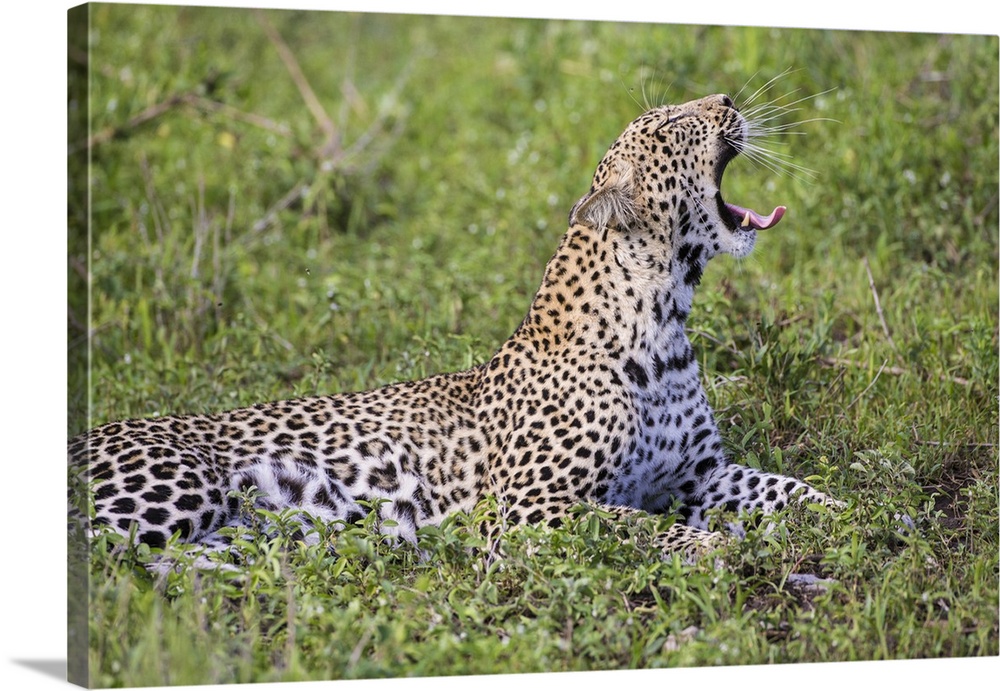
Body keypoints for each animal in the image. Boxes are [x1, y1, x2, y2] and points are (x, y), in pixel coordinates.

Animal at [68, 93, 836, 568]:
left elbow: (785, 486)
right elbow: (632, 523)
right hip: (175, 488)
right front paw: (713, 549)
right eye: (675, 126)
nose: (728, 100)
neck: (665, 322)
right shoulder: (527, 508)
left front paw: (844, 513)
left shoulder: (702, 473)